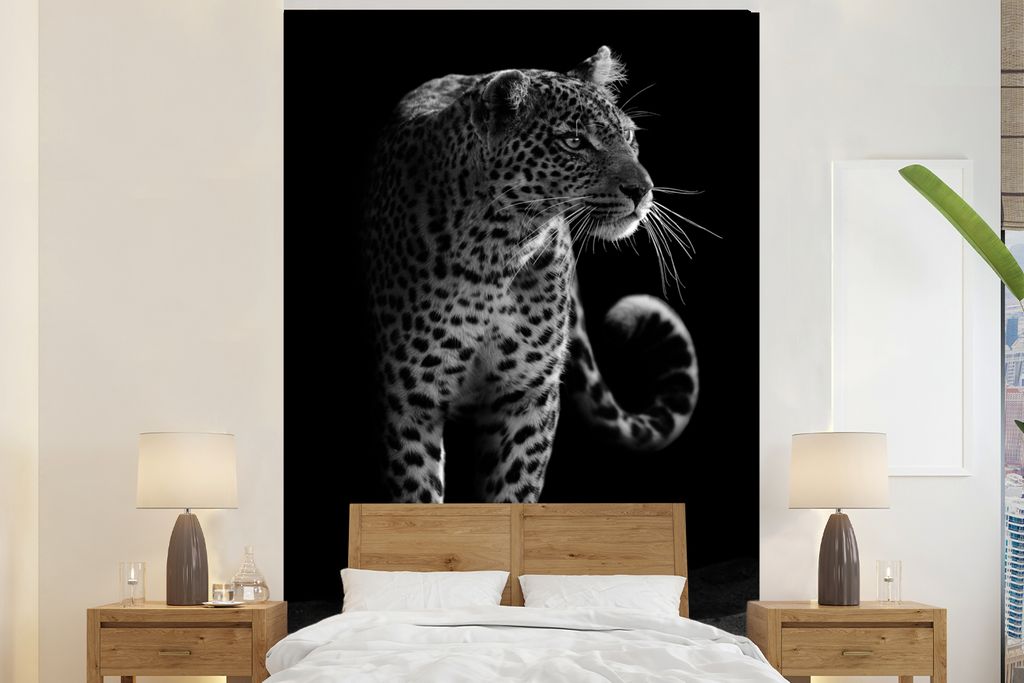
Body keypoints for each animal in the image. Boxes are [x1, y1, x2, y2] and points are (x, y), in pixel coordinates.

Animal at [363, 46, 699, 503]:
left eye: (629, 137)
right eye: (574, 141)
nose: (643, 190)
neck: (496, 252)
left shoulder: (526, 398)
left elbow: (513, 495)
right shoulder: (410, 401)